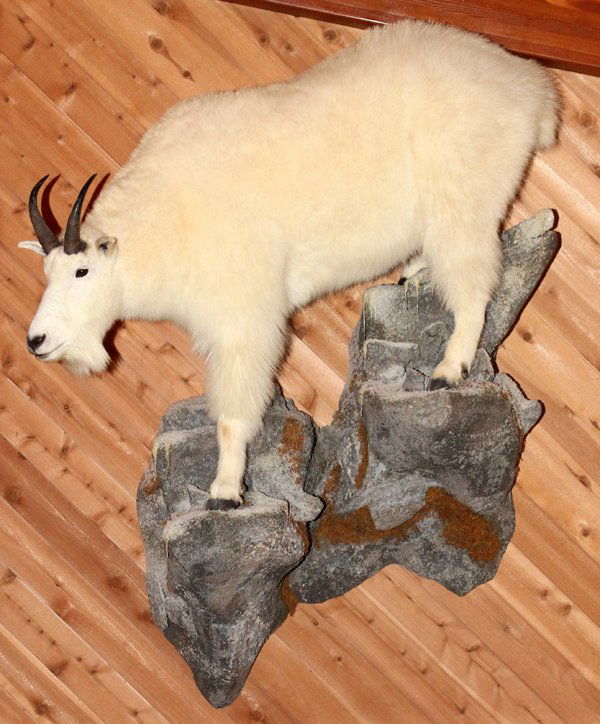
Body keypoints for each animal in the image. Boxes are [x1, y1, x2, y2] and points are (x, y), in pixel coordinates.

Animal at [19, 20, 559, 509]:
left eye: (82, 271)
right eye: (47, 274)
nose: (37, 341)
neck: (167, 218)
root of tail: (533, 90)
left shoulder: (244, 315)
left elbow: (233, 412)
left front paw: (224, 492)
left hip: (463, 200)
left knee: (473, 285)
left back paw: (449, 369)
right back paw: (413, 273)